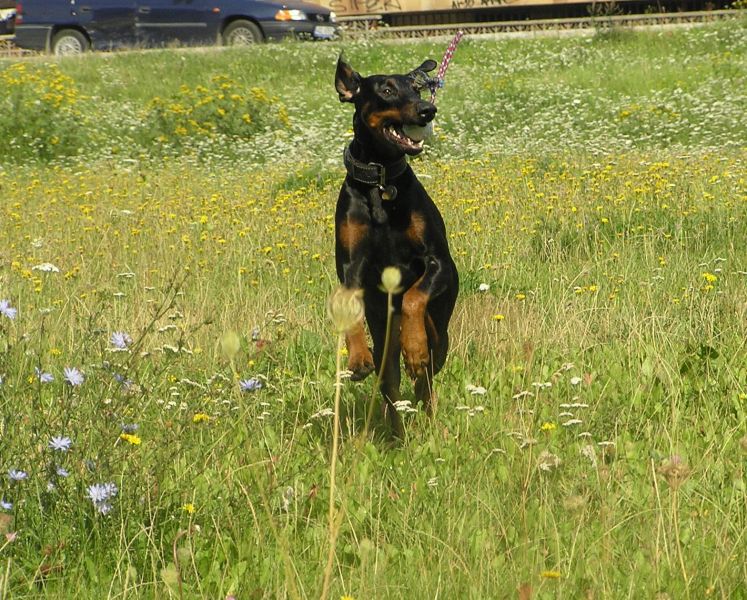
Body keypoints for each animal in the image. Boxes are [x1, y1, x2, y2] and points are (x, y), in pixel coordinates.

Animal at [334, 55, 459, 437]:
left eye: (416, 87)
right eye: (387, 90)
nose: (427, 110)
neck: (381, 179)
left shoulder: (438, 262)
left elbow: (414, 297)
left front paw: (414, 349)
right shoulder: (350, 268)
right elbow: (348, 303)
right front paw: (357, 356)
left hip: (441, 329)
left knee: (429, 372)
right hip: (384, 335)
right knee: (389, 380)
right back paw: (393, 430)